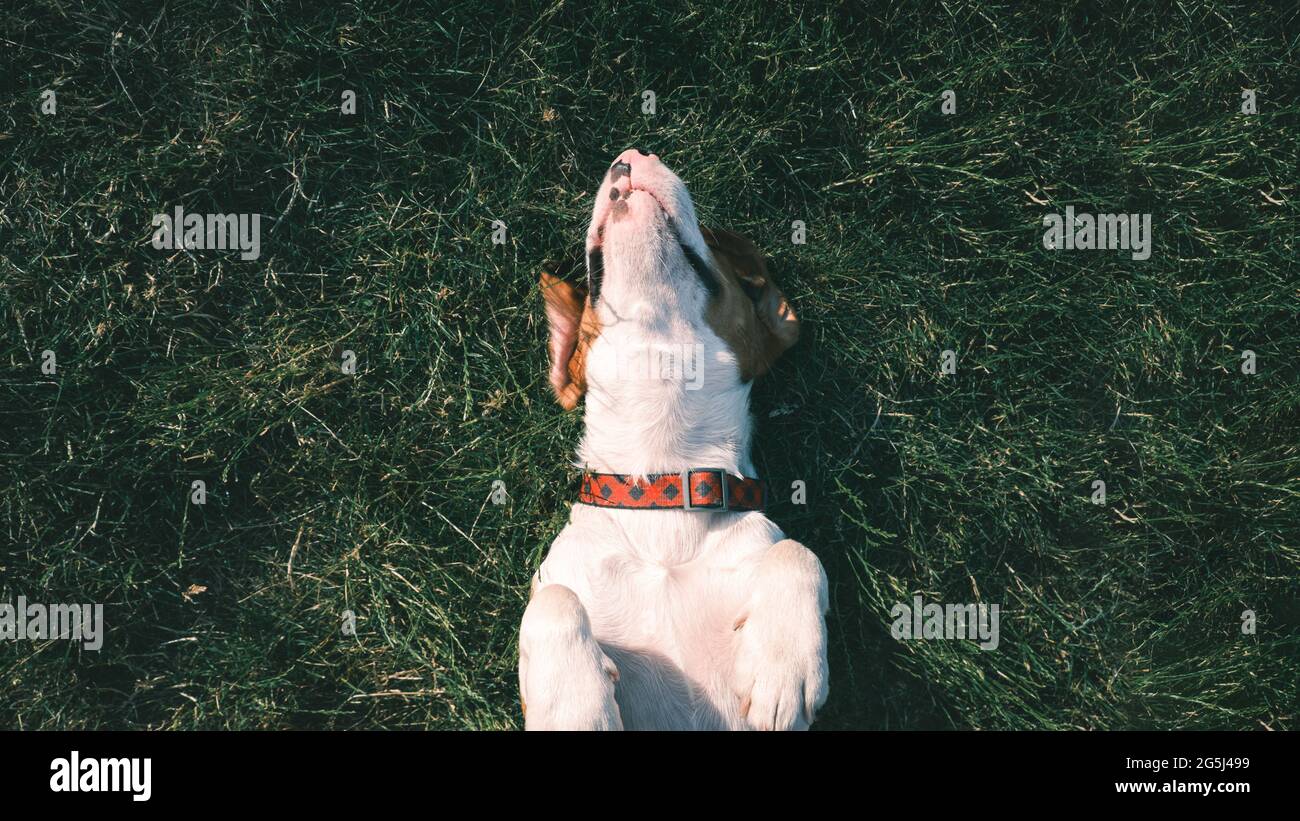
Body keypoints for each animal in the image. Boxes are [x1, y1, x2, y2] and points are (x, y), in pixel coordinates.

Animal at [522, 149, 826, 732]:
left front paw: (782, 666)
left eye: (709, 242)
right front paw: (578, 706)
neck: (661, 483)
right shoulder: (556, 581)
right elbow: (552, 600)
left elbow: (798, 551)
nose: (632, 155)